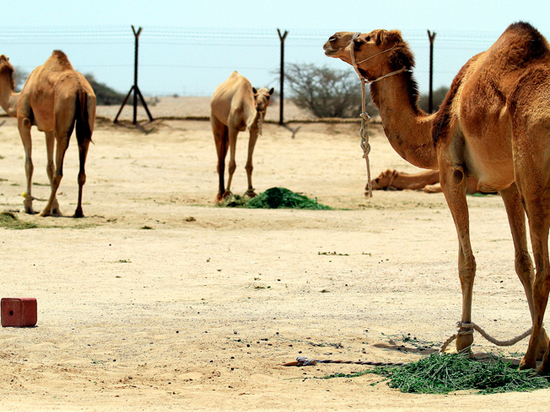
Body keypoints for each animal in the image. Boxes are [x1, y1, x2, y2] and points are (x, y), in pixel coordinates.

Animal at [0, 51, 97, 217]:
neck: (16, 99)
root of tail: (80, 89)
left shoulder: (23, 121)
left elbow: (29, 164)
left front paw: (27, 206)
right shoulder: (49, 129)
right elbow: (49, 166)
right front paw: (55, 207)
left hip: (63, 114)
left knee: (60, 167)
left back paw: (44, 211)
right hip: (88, 114)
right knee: (82, 157)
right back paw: (78, 211)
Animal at [210, 71, 274, 203]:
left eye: (268, 96)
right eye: (256, 96)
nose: (259, 105)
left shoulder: (254, 130)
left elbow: (249, 165)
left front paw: (250, 192)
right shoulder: (233, 128)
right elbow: (232, 165)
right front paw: (228, 193)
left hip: (226, 129)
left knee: (223, 149)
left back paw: (221, 193)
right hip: (216, 119)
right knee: (220, 156)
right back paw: (219, 195)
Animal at [326, 21, 550, 370]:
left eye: (363, 40)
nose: (331, 40)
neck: (431, 128)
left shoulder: (451, 172)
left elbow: (466, 262)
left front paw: (463, 340)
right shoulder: (506, 183)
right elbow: (521, 262)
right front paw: (541, 342)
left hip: (534, 177)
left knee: (545, 269)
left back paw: (528, 363)